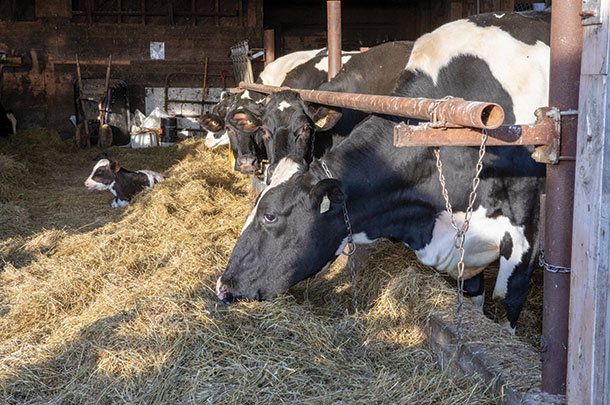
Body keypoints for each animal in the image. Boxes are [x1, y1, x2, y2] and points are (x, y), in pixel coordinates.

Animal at [216, 10, 548, 332]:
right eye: (264, 131)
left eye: (269, 216)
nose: (222, 283)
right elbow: (473, 296)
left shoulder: (526, 233)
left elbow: (508, 301)